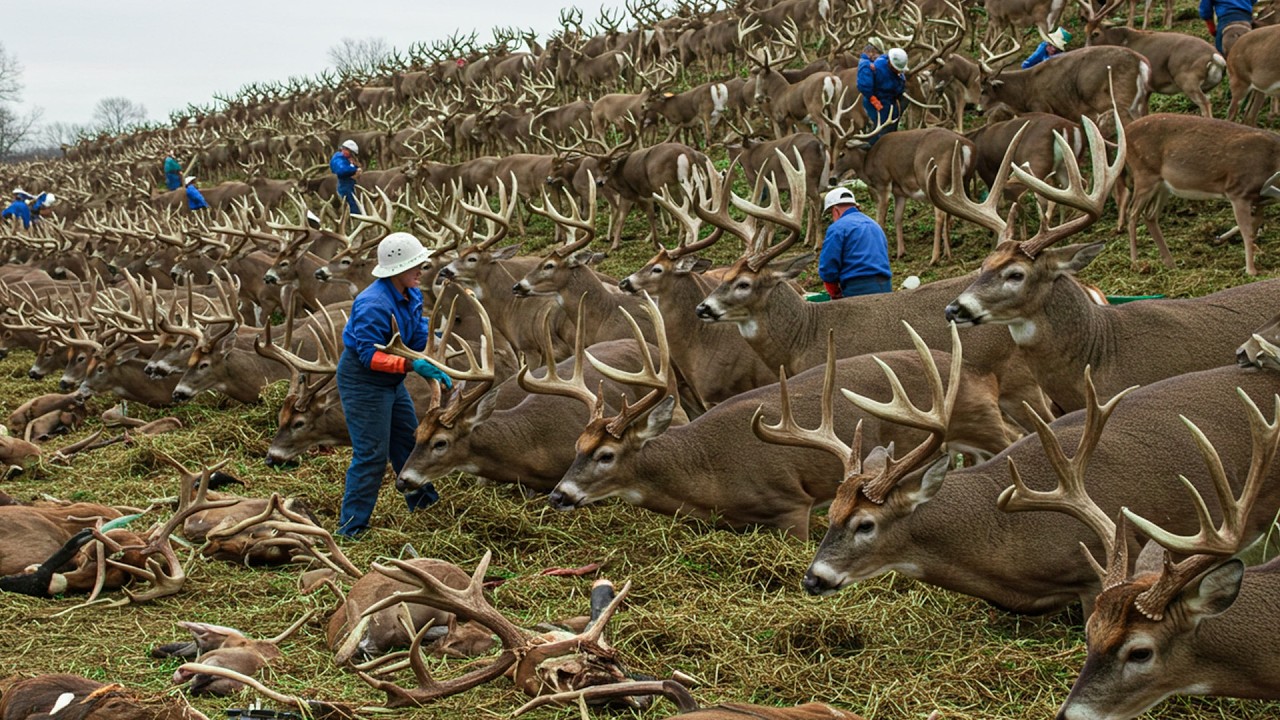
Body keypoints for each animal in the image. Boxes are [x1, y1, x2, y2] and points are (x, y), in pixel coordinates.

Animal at [1116, 113, 1280, 276]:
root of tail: (1126, 131)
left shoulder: (1258, 200)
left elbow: (1255, 225)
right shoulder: (1238, 191)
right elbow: (1247, 230)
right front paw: (1251, 270)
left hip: (1163, 185)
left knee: (1150, 215)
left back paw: (1171, 264)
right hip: (1145, 172)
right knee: (1133, 213)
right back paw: (1135, 263)